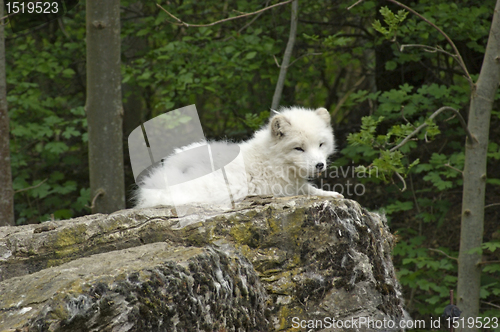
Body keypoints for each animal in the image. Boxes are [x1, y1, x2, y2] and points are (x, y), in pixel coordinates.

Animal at [133, 106, 344, 209]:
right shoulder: (284, 187)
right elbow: (309, 190)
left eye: (321, 144)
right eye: (299, 148)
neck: (271, 158)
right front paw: (331, 194)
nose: (319, 165)